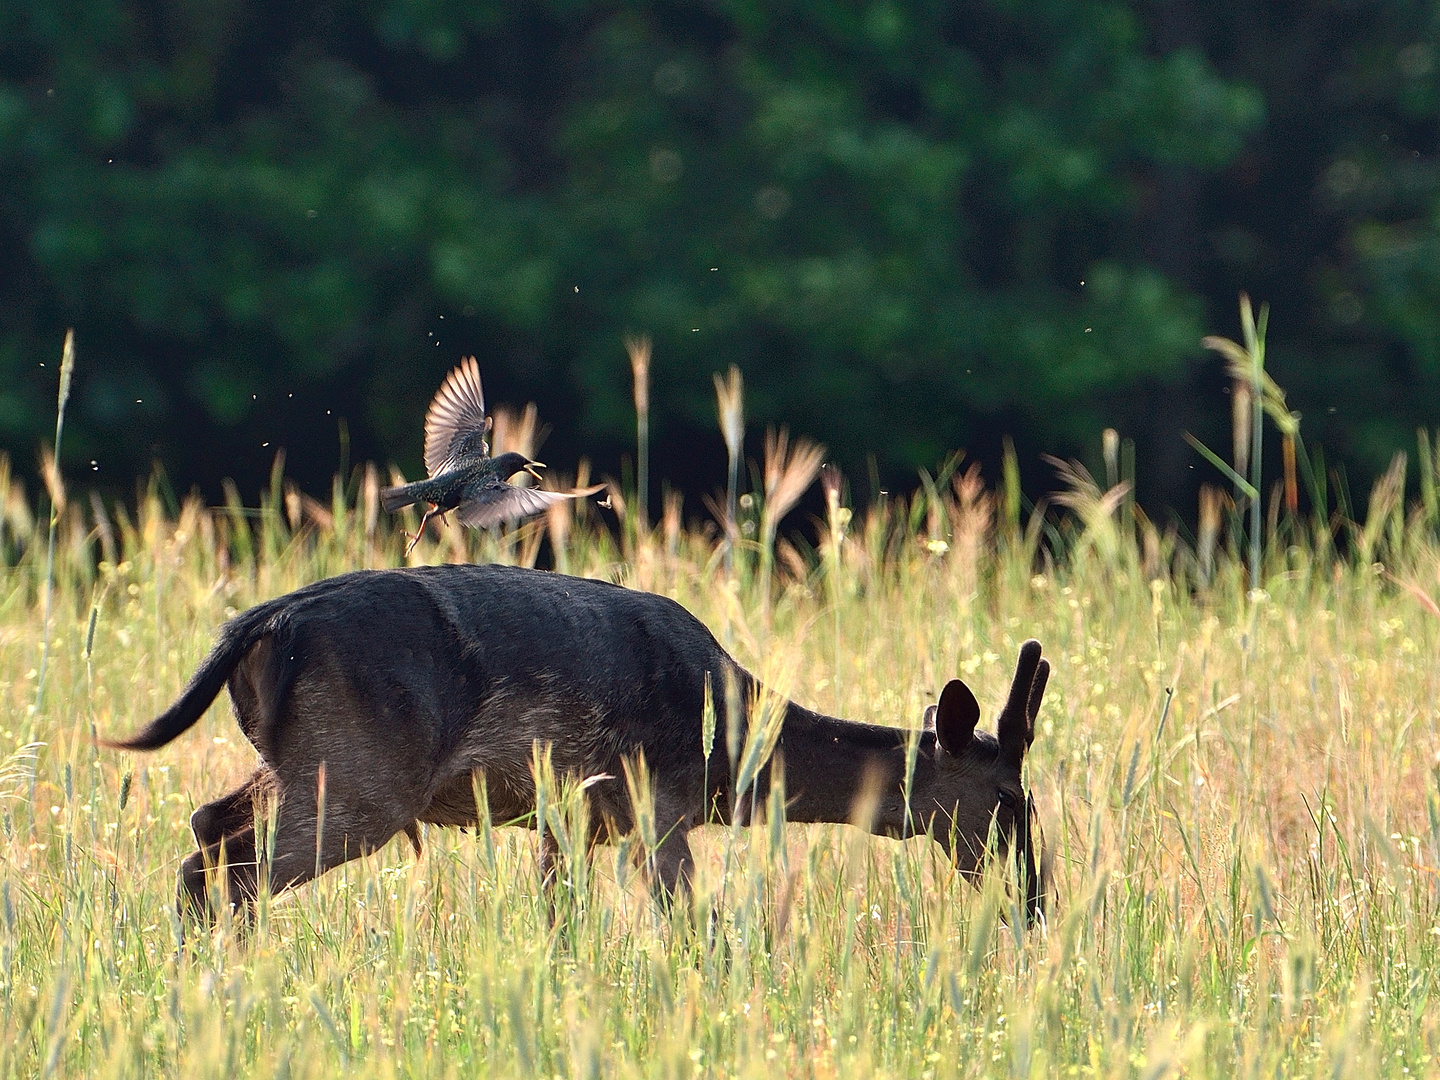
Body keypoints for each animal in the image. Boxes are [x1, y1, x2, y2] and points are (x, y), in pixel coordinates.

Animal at [98, 561, 1048, 927]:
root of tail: (261, 625)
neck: (731, 760)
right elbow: (693, 919)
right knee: (233, 867)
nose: (1036, 900)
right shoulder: (661, 799)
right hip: (363, 774)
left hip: (299, 758)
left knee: (206, 828)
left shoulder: (571, 817)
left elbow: (558, 915)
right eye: (1009, 800)